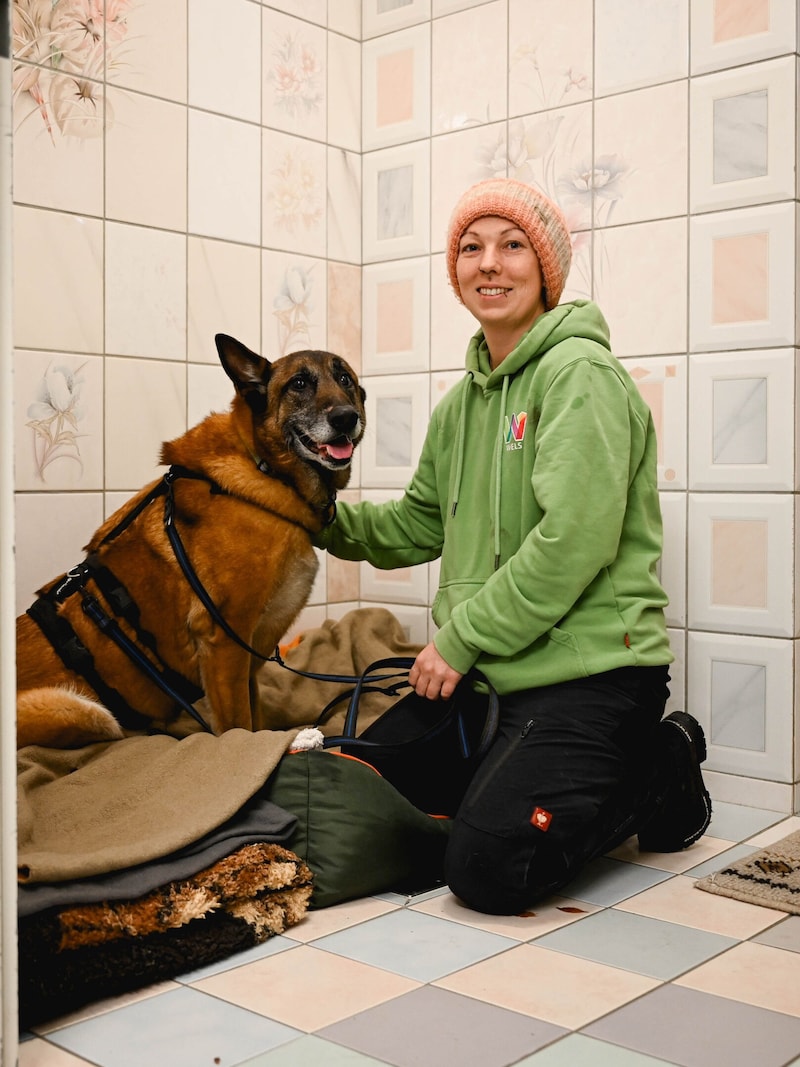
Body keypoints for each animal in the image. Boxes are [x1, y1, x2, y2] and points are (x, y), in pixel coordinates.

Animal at [16, 335, 366, 751]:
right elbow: (238, 730)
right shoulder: (224, 644)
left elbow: (256, 721)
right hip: (83, 712)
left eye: (344, 379)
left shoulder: (245, 663)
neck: (265, 468)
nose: (346, 417)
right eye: (298, 383)